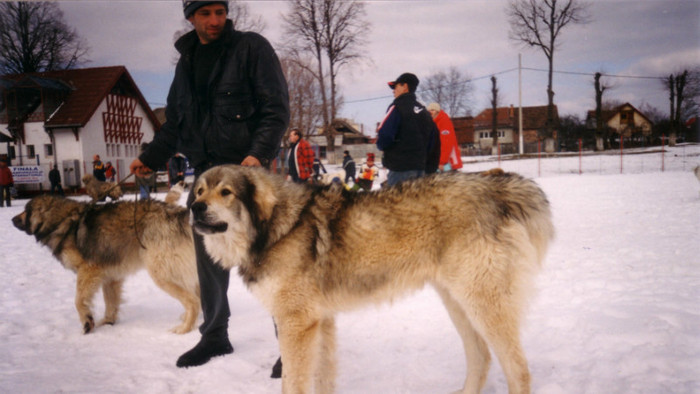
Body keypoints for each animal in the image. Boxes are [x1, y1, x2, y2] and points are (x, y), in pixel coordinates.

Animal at [13, 193, 200, 332]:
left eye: (26, 210)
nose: (12, 220)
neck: (61, 221)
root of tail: (177, 214)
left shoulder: (88, 270)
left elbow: (78, 300)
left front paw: (87, 322)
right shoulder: (110, 276)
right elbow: (110, 302)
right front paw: (108, 322)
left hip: (161, 273)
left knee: (193, 300)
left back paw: (184, 328)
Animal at [190, 165, 552, 394]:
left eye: (226, 192)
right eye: (200, 190)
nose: (194, 207)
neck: (277, 228)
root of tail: (496, 186)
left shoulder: (297, 324)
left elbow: (292, 383)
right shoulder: (320, 322)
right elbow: (322, 378)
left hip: (482, 306)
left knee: (518, 369)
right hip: (459, 305)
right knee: (482, 356)